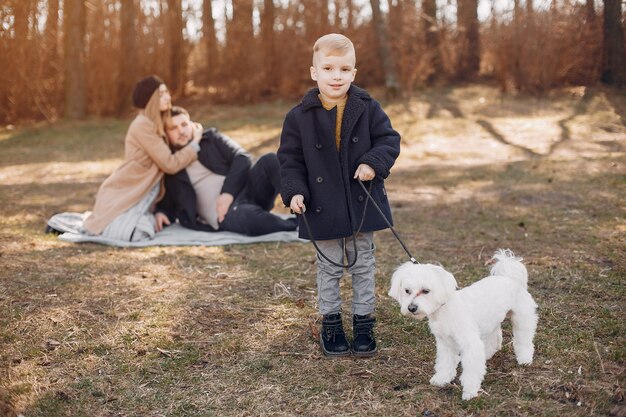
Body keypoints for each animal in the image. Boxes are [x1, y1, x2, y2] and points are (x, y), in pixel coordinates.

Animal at [386, 249, 536, 398]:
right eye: (407, 291)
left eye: (426, 291)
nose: (411, 308)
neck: (444, 310)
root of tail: (510, 278)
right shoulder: (445, 343)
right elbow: (445, 363)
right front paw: (442, 379)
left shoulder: (470, 343)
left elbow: (471, 370)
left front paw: (470, 391)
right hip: (490, 320)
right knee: (495, 336)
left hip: (522, 318)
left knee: (524, 339)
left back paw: (525, 359)